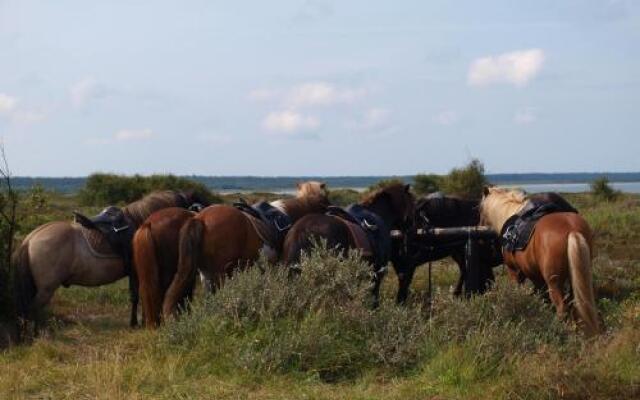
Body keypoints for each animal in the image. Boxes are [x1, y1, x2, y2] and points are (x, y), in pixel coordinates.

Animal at [480, 187, 600, 334]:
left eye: (480, 210)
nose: (479, 228)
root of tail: (572, 230)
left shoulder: (514, 271)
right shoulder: (536, 276)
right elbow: (542, 297)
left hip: (554, 283)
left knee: (562, 308)